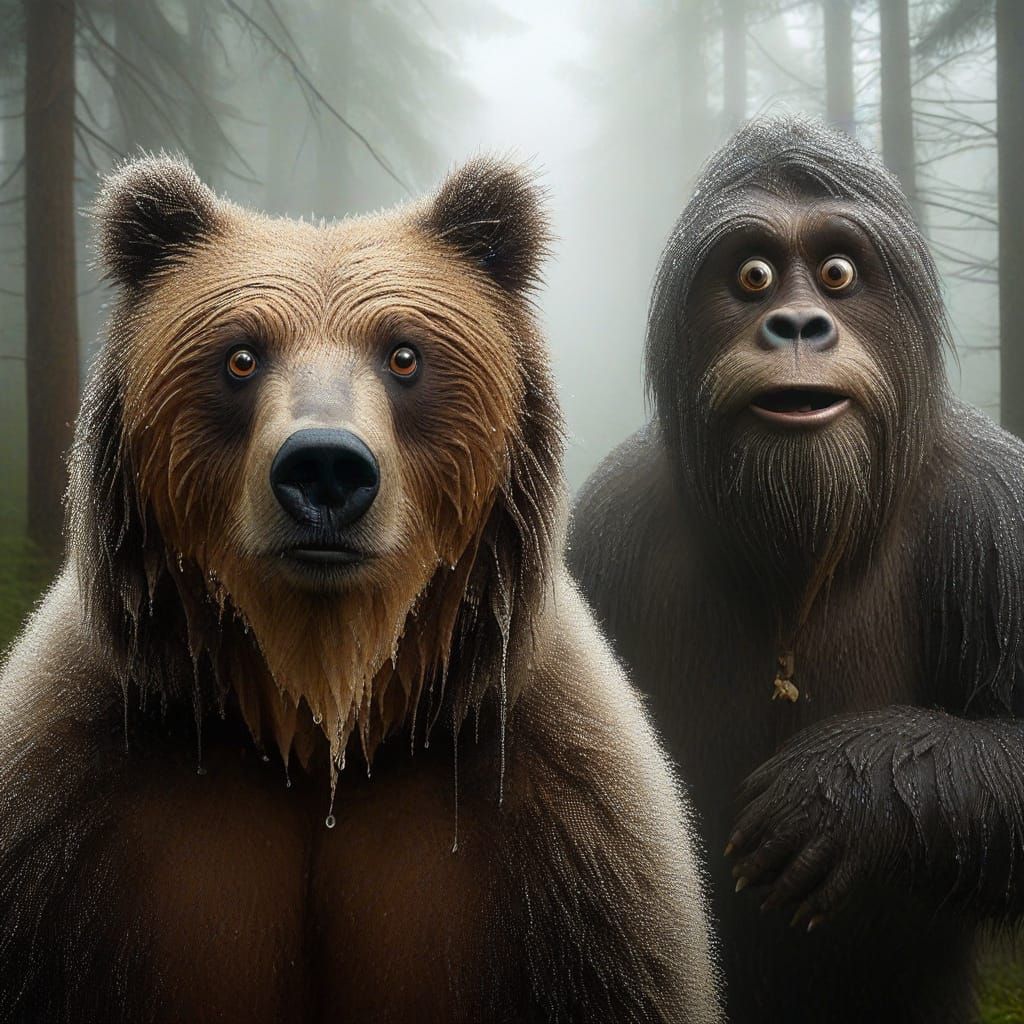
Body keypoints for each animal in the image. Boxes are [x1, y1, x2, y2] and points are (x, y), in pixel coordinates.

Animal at [0, 156, 722, 1023]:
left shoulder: (565, 844)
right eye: (240, 356)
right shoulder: (70, 813)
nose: (324, 467)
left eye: (404, 355)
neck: (326, 713)